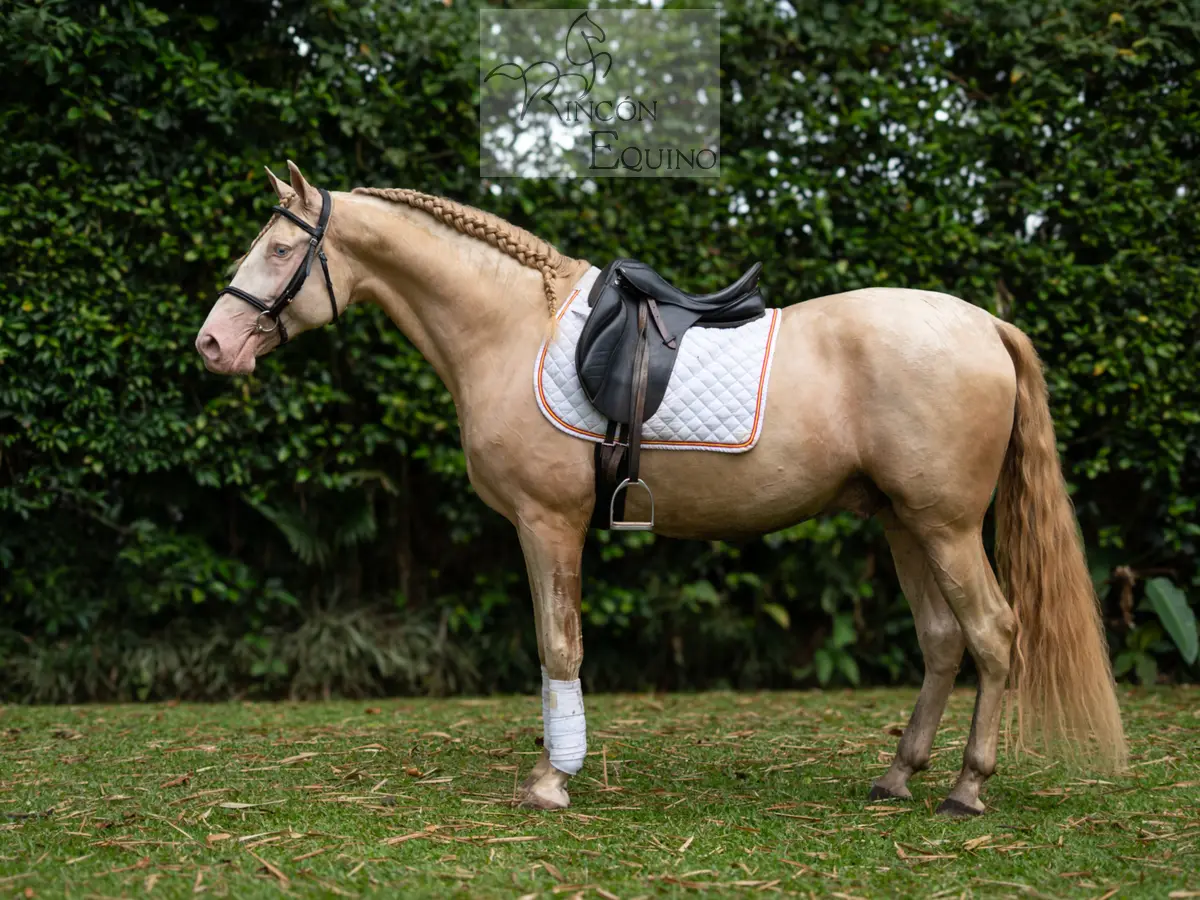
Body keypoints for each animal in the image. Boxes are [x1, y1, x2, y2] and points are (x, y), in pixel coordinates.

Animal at [196, 162, 1126, 816]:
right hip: (904, 522)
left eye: (280, 249)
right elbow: (553, 648)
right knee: (941, 641)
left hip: (946, 525)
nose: (211, 344)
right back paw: (897, 776)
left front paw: (551, 780)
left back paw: (967, 788)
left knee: (994, 635)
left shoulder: (549, 523)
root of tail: (986, 324)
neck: (511, 327)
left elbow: (559, 646)